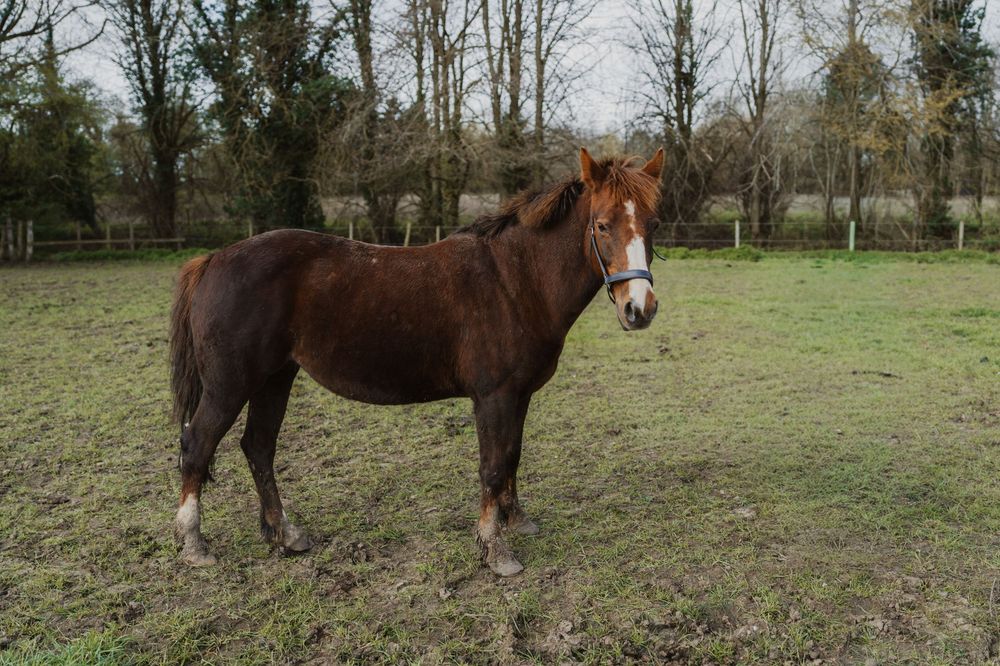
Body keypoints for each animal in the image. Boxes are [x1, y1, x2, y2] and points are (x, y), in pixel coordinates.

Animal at [169, 147, 664, 576]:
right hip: (230, 385)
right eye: (602, 225)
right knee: (197, 445)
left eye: (653, 224)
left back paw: (285, 534)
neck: (515, 279)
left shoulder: (519, 395)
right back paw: (195, 545)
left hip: (275, 378)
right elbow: (491, 465)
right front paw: (496, 549)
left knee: (258, 447)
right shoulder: (494, 397)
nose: (639, 309)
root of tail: (213, 259)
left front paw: (516, 519)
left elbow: (512, 456)